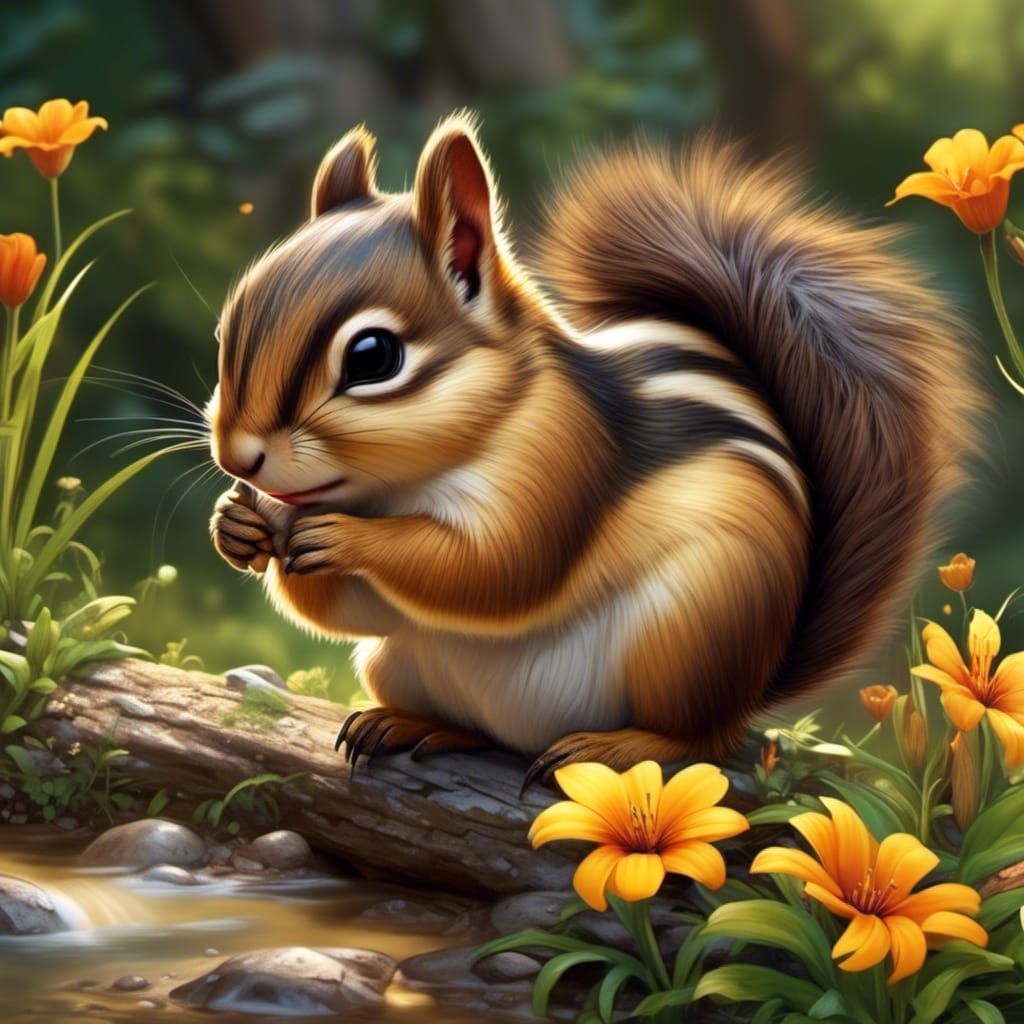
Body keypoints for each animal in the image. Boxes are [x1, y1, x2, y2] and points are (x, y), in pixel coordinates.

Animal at [208, 112, 978, 786]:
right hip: (398, 662)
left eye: (373, 357)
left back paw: (616, 746)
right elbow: (351, 611)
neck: (403, 486)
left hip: (693, 630)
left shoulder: (564, 457)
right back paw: (410, 724)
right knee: (471, 722)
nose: (238, 459)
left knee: (700, 738)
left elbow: (498, 568)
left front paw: (343, 536)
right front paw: (241, 526)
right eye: (226, 327)